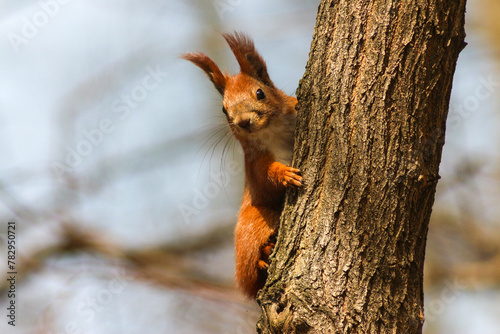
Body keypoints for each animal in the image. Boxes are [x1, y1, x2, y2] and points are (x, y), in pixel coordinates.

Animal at [183, 32, 300, 298]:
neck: (272, 132)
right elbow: (266, 175)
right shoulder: (255, 160)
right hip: (254, 222)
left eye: (260, 93)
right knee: (252, 276)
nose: (243, 122)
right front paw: (284, 174)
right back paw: (264, 255)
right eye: (223, 109)